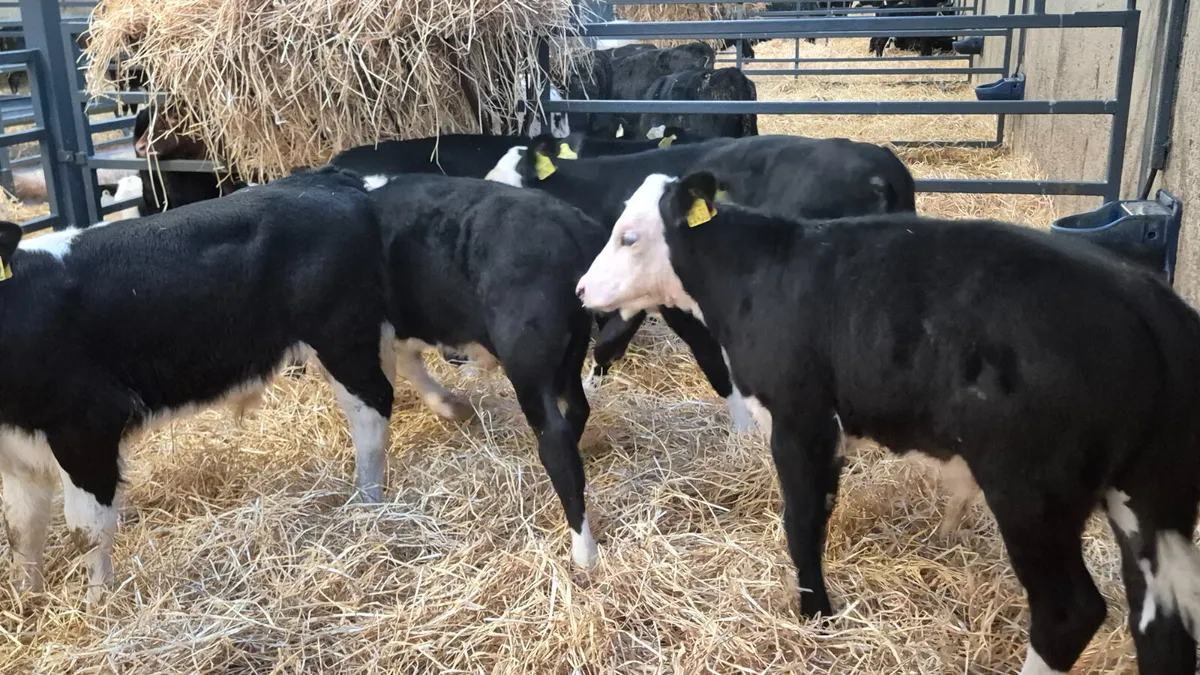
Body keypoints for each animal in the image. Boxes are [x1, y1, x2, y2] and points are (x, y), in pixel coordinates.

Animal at [0, 166, 395, 601]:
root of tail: (327, 178)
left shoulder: (88, 425)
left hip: (342, 337)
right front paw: (26, 601)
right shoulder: (16, 450)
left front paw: (99, 604)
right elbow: (21, 531)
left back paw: (368, 506)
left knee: (371, 413)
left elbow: (86, 530)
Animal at [363, 173, 609, 568]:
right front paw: (453, 406)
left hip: (527, 360)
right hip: (569, 351)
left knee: (556, 443)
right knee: (576, 409)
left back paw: (583, 552)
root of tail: (569, 223)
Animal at [575, 170, 1200, 675]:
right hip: (1147, 500)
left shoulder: (801, 419)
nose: (581, 290)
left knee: (1069, 611)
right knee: (1161, 620)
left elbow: (802, 522)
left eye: (629, 236)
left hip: (1032, 490)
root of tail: (1142, 294)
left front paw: (815, 614)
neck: (756, 275)